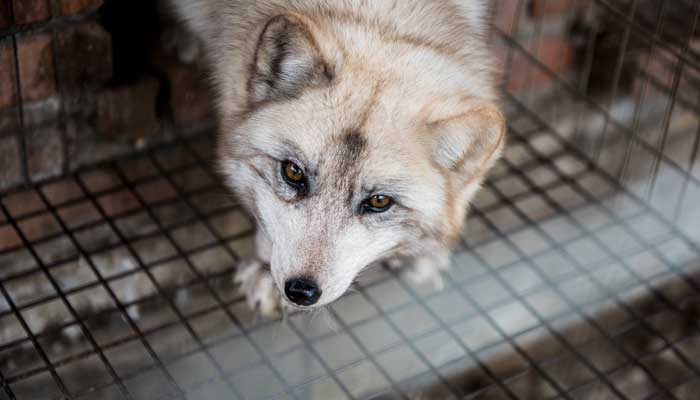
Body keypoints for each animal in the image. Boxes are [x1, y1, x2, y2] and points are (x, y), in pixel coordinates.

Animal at [167, 0, 506, 318]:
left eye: (379, 202)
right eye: (293, 172)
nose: (300, 291)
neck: (378, 18)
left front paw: (423, 256)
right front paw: (264, 269)